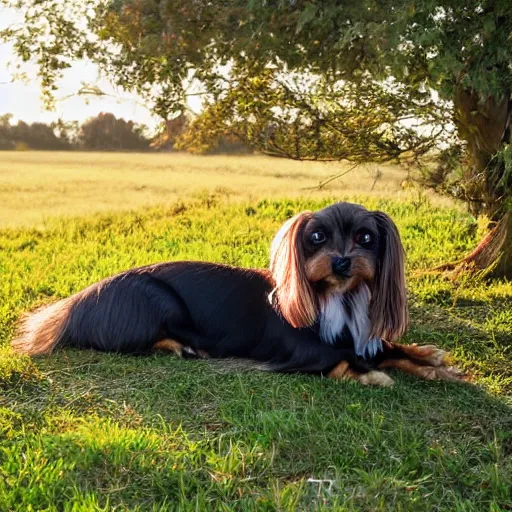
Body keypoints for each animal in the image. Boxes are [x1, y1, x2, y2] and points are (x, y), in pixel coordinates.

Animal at [13, 202, 464, 386]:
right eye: (317, 237)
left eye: (366, 238)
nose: (341, 263)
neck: (339, 297)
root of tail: (73, 304)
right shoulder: (301, 348)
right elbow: (340, 360)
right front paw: (373, 375)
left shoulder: (360, 334)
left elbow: (388, 347)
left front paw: (431, 361)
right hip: (156, 301)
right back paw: (183, 347)